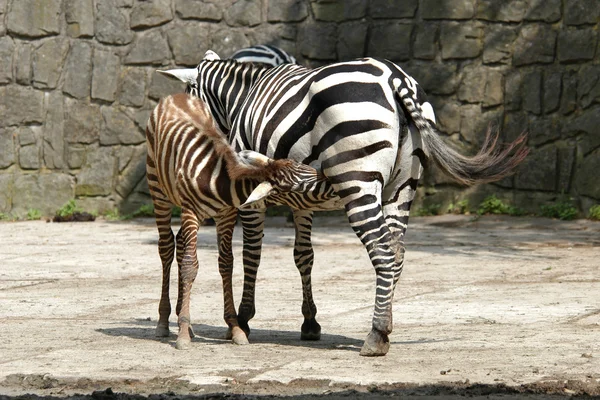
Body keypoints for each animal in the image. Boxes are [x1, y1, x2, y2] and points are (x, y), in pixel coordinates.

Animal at [144, 92, 336, 348]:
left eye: (305, 167)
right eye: (302, 186)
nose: (334, 182)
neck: (217, 181)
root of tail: (176, 95)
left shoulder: (226, 215)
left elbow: (227, 264)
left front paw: (234, 328)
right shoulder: (191, 212)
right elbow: (190, 265)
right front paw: (183, 332)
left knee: (181, 244)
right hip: (158, 191)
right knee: (166, 247)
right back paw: (164, 322)